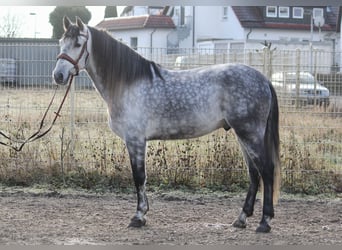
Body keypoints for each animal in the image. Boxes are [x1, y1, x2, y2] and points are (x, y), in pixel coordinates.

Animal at [52, 16, 280, 233]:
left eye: (78, 43)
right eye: (61, 42)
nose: (58, 75)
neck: (127, 84)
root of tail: (263, 79)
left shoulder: (135, 140)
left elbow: (139, 177)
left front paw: (138, 216)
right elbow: (141, 178)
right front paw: (143, 214)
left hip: (250, 134)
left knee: (266, 170)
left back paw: (264, 222)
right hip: (242, 135)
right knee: (254, 174)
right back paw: (241, 219)